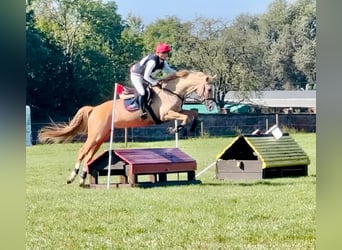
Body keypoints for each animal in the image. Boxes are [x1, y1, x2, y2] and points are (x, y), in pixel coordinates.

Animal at [38, 70, 216, 186]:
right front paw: (175, 129)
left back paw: (82, 178)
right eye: (209, 89)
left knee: (89, 156)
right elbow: (185, 117)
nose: (211, 106)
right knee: (82, 151)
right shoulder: (166, 114)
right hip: (96, 135)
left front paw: (191, 127)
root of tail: (94, 109)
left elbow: (193, 114)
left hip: (101, 136)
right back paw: (72, 177)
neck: (172, 91)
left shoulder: (177, 111)